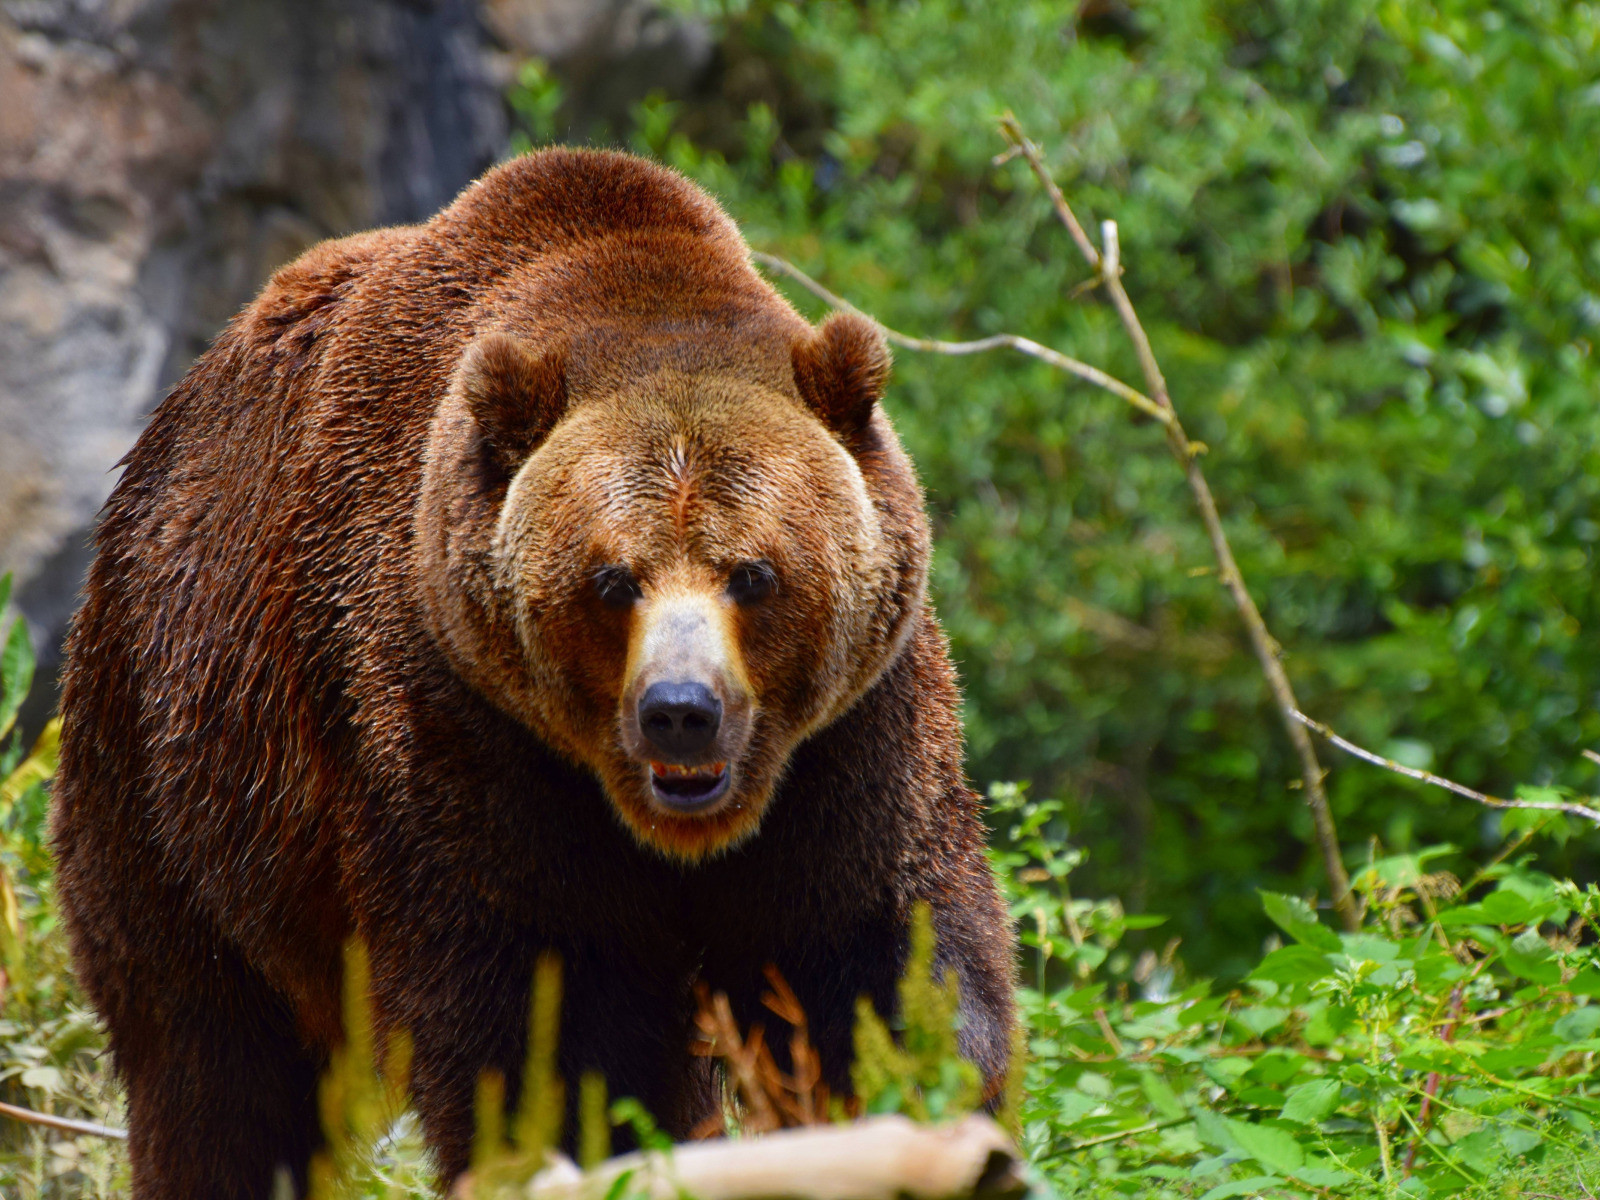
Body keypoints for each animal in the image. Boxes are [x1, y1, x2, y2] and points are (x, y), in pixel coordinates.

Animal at [56, 152, 1017, 1200]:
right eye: (613, 580)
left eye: (753, 573)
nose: (681, 712)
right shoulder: (462, 726)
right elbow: (547, 1016)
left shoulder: (851, 739)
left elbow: (873, 960)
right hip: (181, 771)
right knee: (213, 1063)